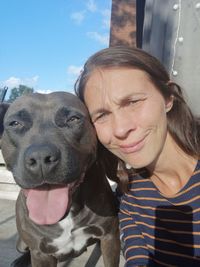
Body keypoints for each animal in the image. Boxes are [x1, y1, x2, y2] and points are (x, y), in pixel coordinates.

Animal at [1, 92, 120, 267]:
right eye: (15, 123)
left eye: (73, 119)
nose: (41, 157)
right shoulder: (41, 254)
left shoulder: (109, 237)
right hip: (22, 244)